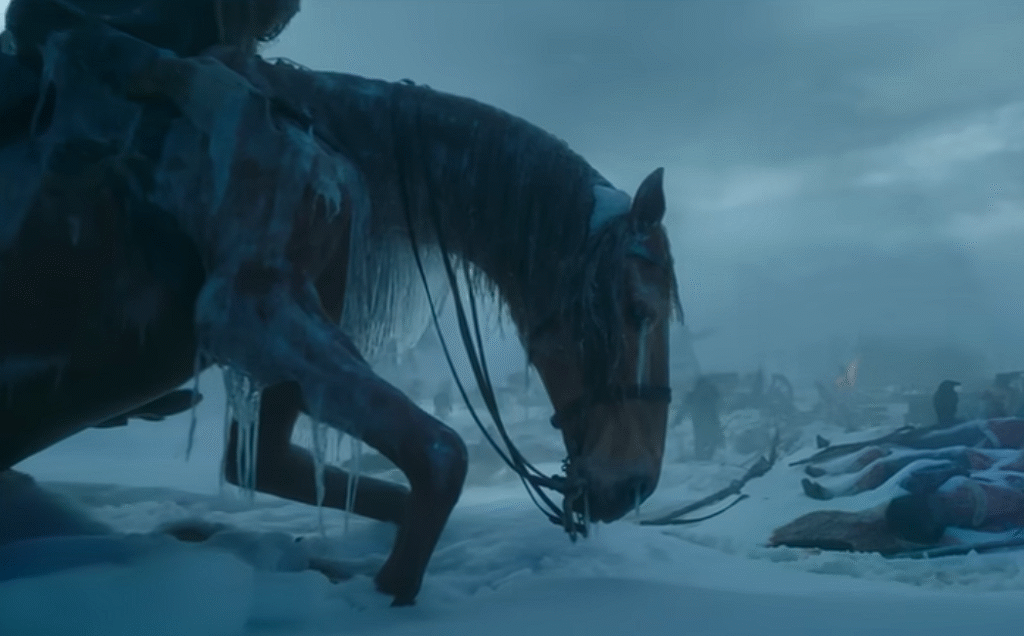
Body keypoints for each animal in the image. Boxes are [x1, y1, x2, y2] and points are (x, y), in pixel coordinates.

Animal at [0, 10, 680, 606]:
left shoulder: (292, 343)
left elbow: (281, 469)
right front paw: (378, 597)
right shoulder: (246, 312)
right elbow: (443, 459)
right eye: (637, 310)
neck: (323, 133)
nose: (635, 486)